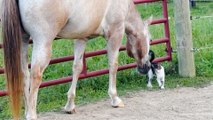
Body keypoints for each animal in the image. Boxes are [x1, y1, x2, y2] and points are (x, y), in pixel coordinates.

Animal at [1, 0, 151, 119]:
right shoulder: (115, 33)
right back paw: (31, 115)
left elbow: (77, 68)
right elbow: (113, 65)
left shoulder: (81, 38)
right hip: (42, 42)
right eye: (149, 39)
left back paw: (27, 110)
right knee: (35, 75)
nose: (146, 67)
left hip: (22, 40)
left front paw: (70, 105)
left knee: (24, 74)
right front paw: (115, 99)